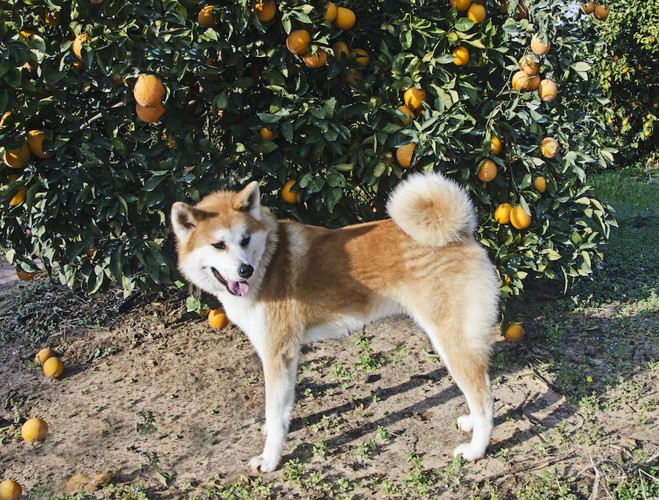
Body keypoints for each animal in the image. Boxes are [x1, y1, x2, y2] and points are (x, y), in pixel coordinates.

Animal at [170, 173, 500, 472]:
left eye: (245, 240)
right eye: (218, 245)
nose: (245, 270)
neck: (268, 260)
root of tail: (461, 233)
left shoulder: (277, 354)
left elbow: (275, 414)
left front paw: (270, 459)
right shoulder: (285, 357)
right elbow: (281, 410)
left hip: (452, 341)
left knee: (484, 398)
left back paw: (476, 450)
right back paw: (471, 423)